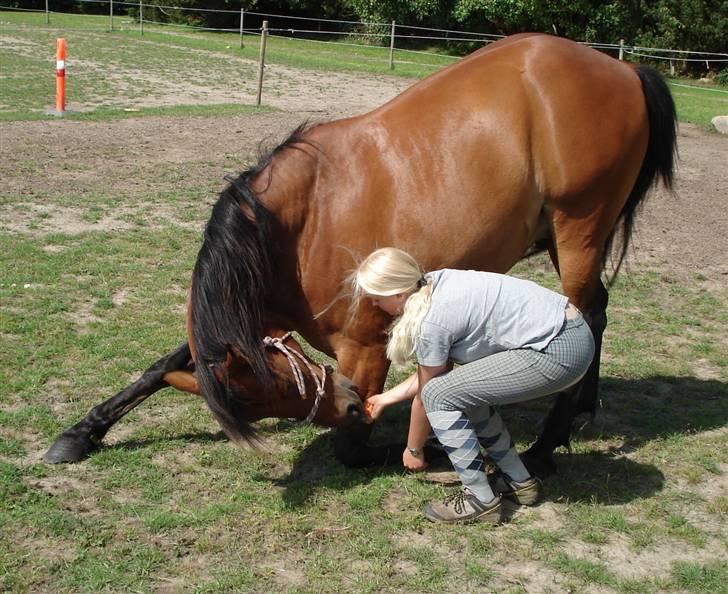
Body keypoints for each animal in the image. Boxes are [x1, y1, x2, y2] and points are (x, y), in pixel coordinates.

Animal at [48, 32, 680, 474]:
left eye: (284, 389)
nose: (348, 404)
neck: (300, 225)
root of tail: (622, 66)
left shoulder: (365, 350)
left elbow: (351, 449)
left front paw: (418, 448)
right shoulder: (256, 318)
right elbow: (163, 366)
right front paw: (82, 431)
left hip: (579, 231)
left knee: (584, 314)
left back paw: (548, 444)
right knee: (598, 313)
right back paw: (580, 412)